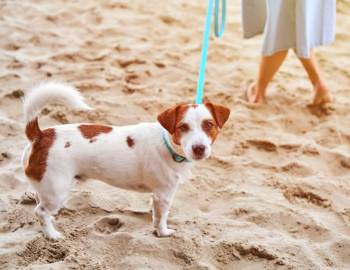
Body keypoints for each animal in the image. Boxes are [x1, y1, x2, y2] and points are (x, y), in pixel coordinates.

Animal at [21, 81, 230, 239]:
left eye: (209, 125)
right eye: (183, 127)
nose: (199, 148)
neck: (167, 143)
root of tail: (41, 135)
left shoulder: (158, 196)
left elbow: (156, 216)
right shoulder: (164, 194)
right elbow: (162, 217)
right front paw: (163, 233)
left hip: (46, 187)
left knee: (40, 205)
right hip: (57, 191)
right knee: (39, 211)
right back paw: (52, 235)